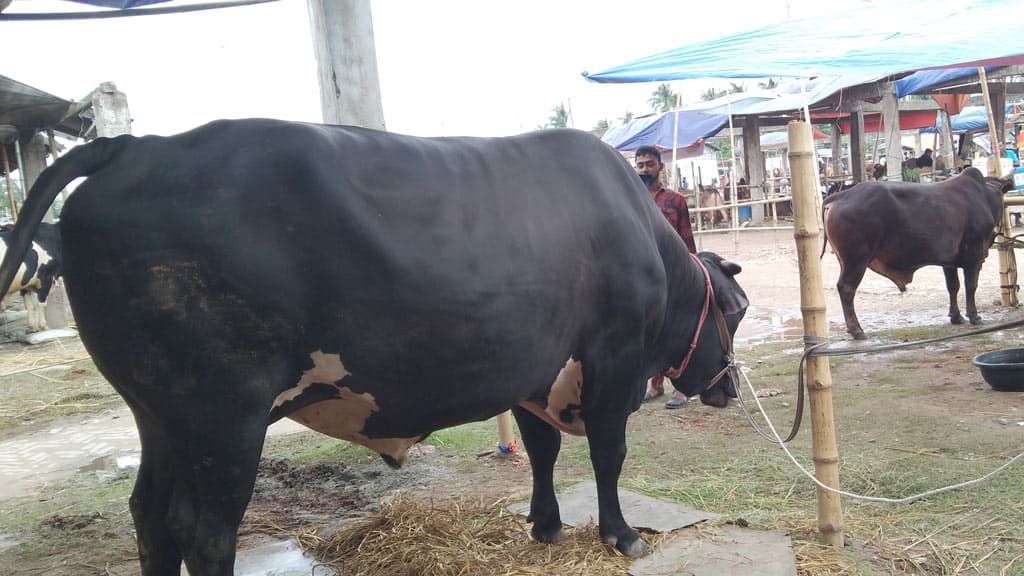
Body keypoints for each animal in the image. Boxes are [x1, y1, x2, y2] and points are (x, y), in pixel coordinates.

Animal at [2, 117, 753, 573]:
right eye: (738, 311)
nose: (728, 385)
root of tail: (137, 144)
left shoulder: (534, 371)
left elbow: (541, 452)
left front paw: (544, 525)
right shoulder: (613, 361)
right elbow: (607, 453)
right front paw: (621, 535)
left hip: (160, 414)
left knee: (151, 516)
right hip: (221, 415)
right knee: (203, 530)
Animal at [819, 165, 1011, 336]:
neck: (984, 195)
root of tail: (842, 194)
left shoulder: (949, 262)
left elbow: (953, 286)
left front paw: (956, 316)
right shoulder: (974, 256)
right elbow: (971, 286)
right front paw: (974, 316)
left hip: (844, 261)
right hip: (857, 261)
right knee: (846, 289)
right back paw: (856, 330)